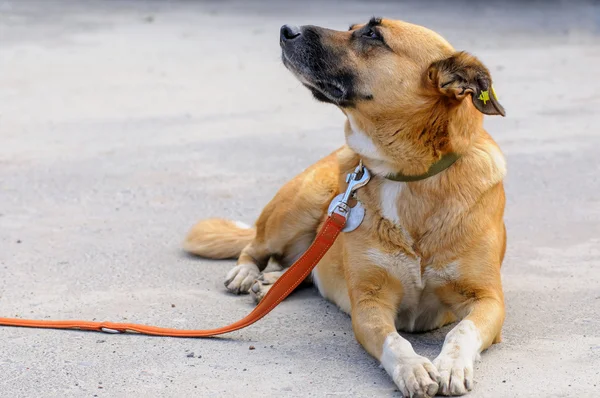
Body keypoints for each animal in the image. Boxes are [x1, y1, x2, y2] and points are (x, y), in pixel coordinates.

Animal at [183, 17, 506, 396]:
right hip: (299, 207)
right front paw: (413, 368)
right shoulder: (368, 302)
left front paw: (451, 364)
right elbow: (394, 342)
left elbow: (461, 330)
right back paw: (249, 274)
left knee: (300, 269)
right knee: (256, 247)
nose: (286, 29)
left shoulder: (488, 299)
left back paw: (272, 282)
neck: (407, 177)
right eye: (355, 26)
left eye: (372, 34)